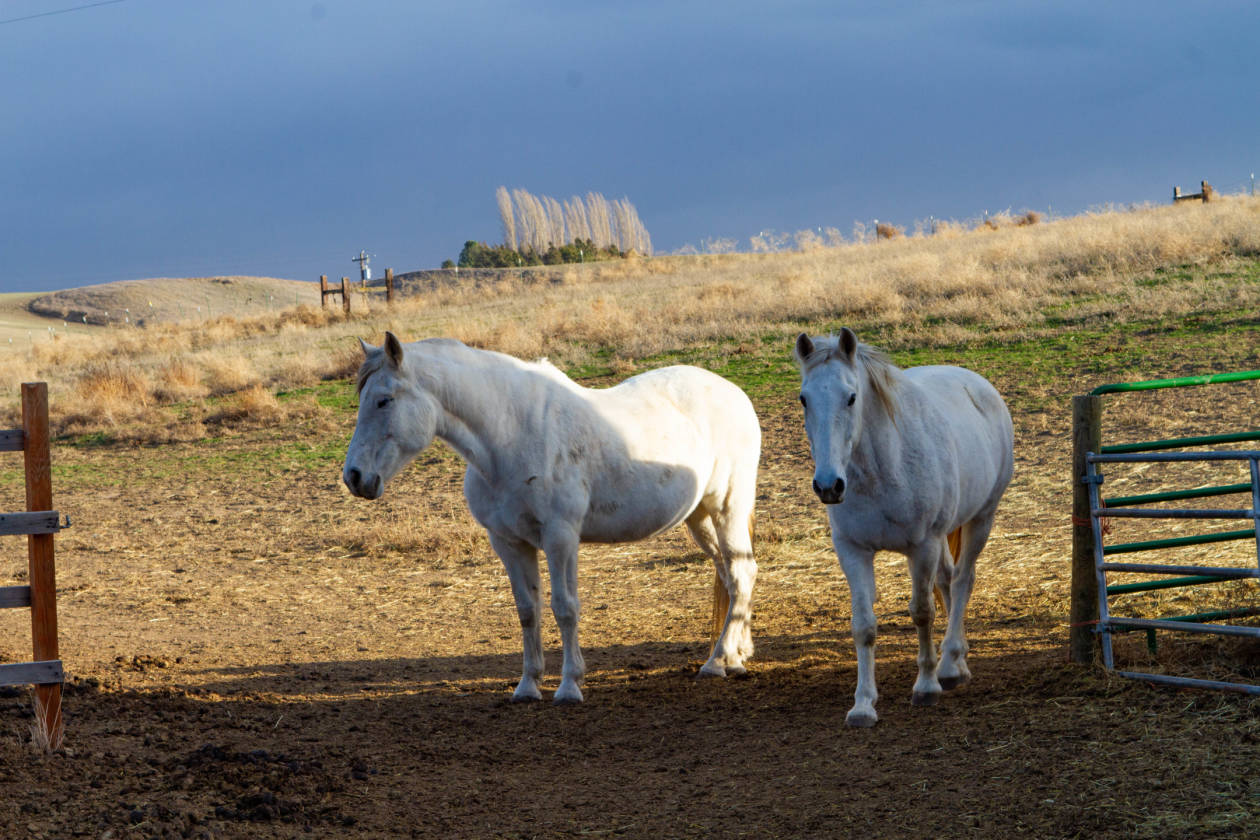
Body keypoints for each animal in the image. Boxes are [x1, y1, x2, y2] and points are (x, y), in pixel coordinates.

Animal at [343, 333, 761, 704]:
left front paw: (569, 685)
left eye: (384, 400)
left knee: (741, 572)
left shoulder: (560, 538)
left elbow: (565, 607)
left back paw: (717, 662)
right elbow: (528, 610)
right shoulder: (509, 542)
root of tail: (733, 392)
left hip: (727, 509)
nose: (354, 477)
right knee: (729, 574)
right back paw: (736, 656)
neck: (510, 436)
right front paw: (528, 686)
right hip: (699, 517)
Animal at [794, 328, 1013, 727]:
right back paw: (955, 661)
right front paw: (863, 704)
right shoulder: (853, 551)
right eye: (804, 398)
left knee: (962, 581)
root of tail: (976, 382)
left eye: (851, 397)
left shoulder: (922, 546)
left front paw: (925, 687)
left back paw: (950, 666)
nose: (829, 485)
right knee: (948, 580)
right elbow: (864, 625)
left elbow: (922, 612)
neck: (881, 470)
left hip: (981, 519)